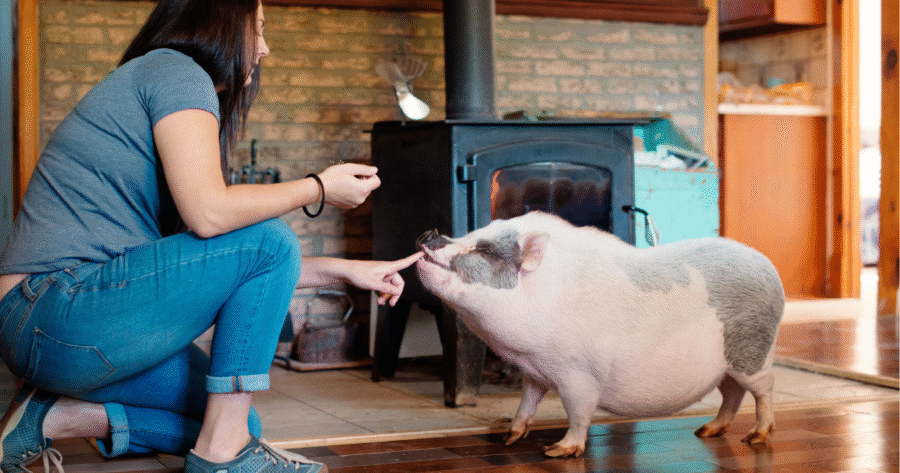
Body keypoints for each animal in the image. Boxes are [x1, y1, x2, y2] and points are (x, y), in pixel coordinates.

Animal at [415, 211, 784, 457]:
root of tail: (769, 268)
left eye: (486, 251)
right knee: (732, 394)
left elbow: (579, 413)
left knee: (763, 389)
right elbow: (527, 401)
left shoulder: (578, 376)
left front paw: (558, 451)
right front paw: (509, 436)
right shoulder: (536, 373)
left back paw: (756, 437)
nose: (429, 233)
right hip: (726, 366)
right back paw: (706, 431)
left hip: (753, 351)